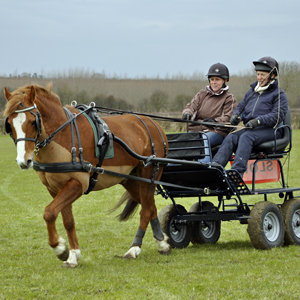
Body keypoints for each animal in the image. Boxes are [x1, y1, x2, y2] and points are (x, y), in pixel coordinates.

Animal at [4, 84, 171, 268]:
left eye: (33, 122)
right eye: (10, 124)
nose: (23, 160)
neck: (62, 134)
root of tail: (153, 124)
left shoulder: (77, 184)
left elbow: (49, 212)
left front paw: (60, 248)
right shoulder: (55, 188)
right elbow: (67, 220)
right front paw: (72, 255)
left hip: (149, 175)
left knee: (146, 210)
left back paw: (134, 248)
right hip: (130, 179)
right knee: (150, 206)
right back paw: (162, 243)